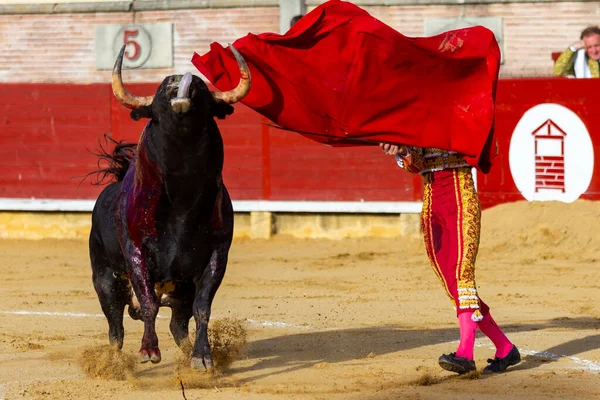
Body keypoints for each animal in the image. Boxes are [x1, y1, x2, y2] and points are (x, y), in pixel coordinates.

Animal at [89, 45, 251, 370]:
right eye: (164, 87)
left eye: (201, 87)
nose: (180, 81)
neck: (182, 198)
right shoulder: (136, 251)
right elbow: (148, 304)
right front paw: (149, 350)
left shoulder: (217, 255)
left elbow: (203, 307)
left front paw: (203, 357)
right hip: (105, 278)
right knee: (115, 329)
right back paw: (114, 363)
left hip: (180, 289)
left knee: (178, 324)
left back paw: (189, 351)